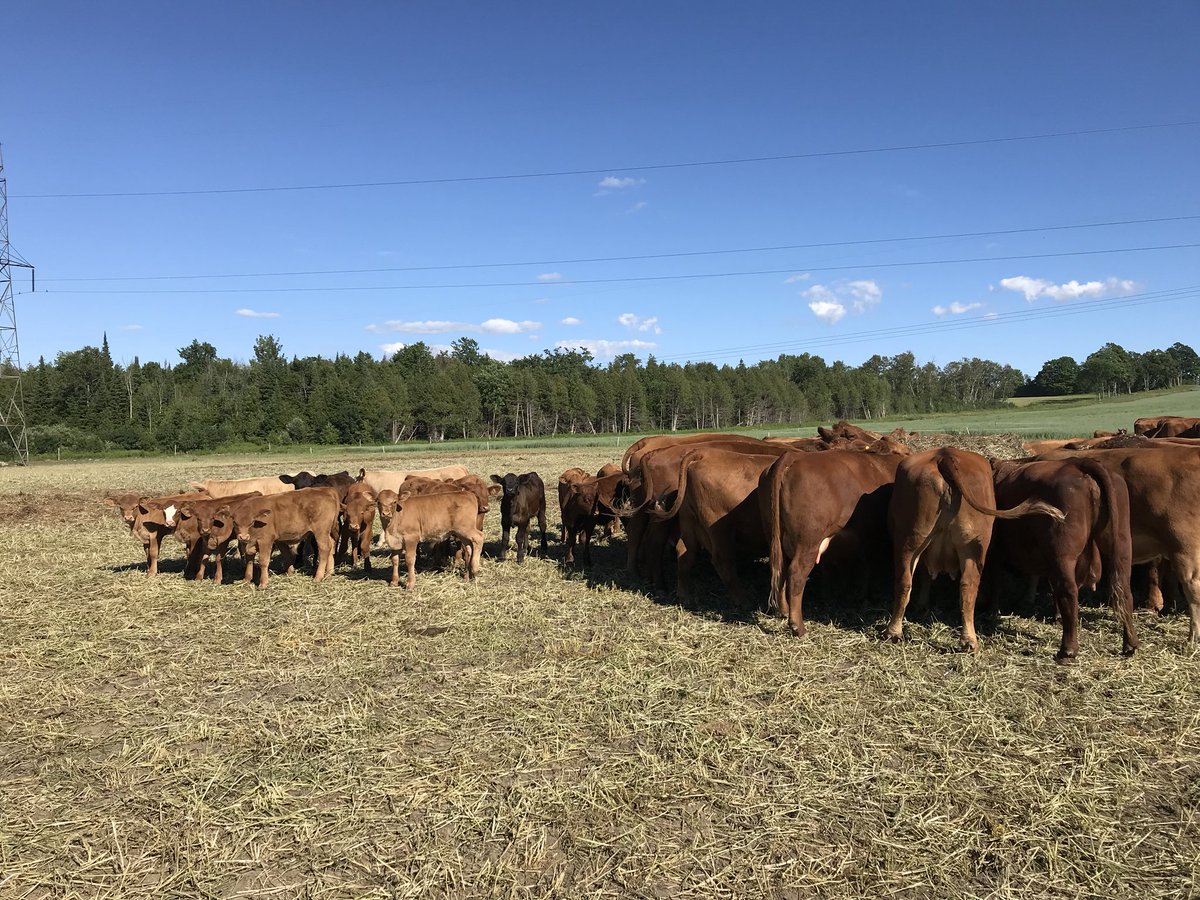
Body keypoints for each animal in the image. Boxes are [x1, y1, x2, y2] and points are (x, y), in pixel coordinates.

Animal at [885, 448, 1065, 653]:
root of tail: (944, 455)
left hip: (915, 541)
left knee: (909, 582)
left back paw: (896, 632)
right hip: (946, 545)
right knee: (965, 586)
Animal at [990, 458, 1139, 659]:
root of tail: (1078, 464)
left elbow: (995, 583)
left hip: (1062, 554)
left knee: (1069, 591)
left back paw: (1068, 649)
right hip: (1121, 545)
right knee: (1123, 591)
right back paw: (1130, 644)